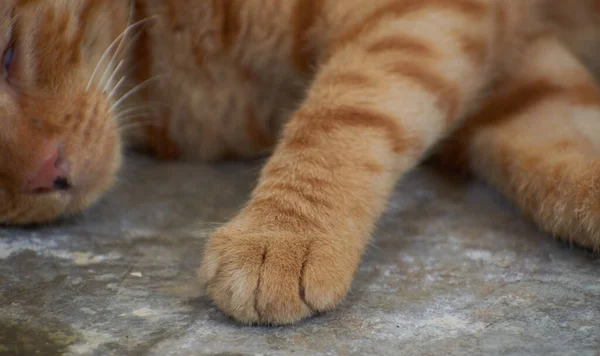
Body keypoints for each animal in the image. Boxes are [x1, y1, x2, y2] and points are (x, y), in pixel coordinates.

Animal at [1, 0, 600, 326]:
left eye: (6, 54)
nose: (47, 176)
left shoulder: (427, 21)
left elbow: (347, 105)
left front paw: (283, 236)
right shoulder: (512, 78)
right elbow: (562, 150)